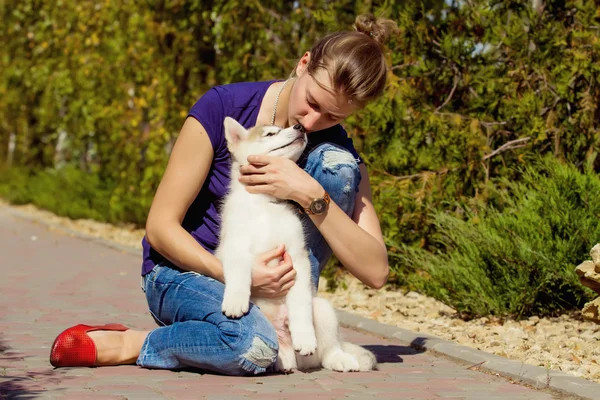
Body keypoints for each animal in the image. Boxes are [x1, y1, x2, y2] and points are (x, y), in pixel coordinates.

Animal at [214, 117, 376, 374]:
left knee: (329, 349)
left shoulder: (297, 258)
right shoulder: (233, 247)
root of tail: (290, 357)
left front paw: (305, 337)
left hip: (322, 309)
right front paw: (235, 300)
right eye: (270, 134)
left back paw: (339, 359)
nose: (299, 126)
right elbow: (239, 272)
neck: (265, 204)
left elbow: (299, 302)